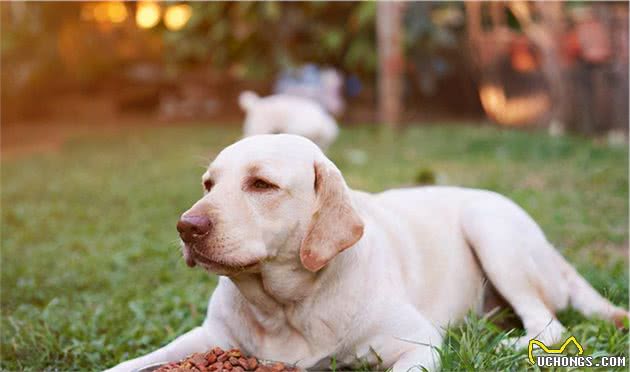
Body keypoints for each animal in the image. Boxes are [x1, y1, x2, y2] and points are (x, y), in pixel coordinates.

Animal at [111, 134, 628, 372]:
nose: (186, 226)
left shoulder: (418, 342)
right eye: (208, 184)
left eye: (261, 185)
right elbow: (132, 363)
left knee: (550, 326)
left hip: (490, 225)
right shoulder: (209, 337)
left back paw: (506, 342)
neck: (285, 306)